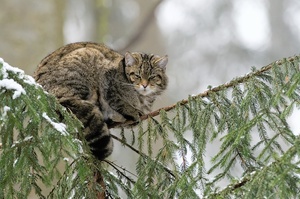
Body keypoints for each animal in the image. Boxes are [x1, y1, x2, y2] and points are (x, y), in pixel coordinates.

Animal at [34, 42, 169, 160]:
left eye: (152, 77)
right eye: (137, 75)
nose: (144, 85)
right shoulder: (108, 81)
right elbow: (118, 101)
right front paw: (131, 111)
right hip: (86, 60)